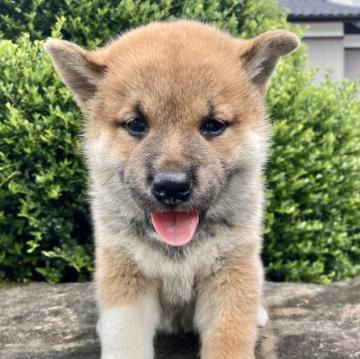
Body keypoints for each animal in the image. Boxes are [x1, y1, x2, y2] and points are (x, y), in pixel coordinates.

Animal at [45, 20, 298, 359]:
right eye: (136, 124)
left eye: (213, 125)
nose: (172, 186)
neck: (177, 252)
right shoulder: (125, 279)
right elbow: (124, 340)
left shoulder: (229, 279)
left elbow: (229, 339)